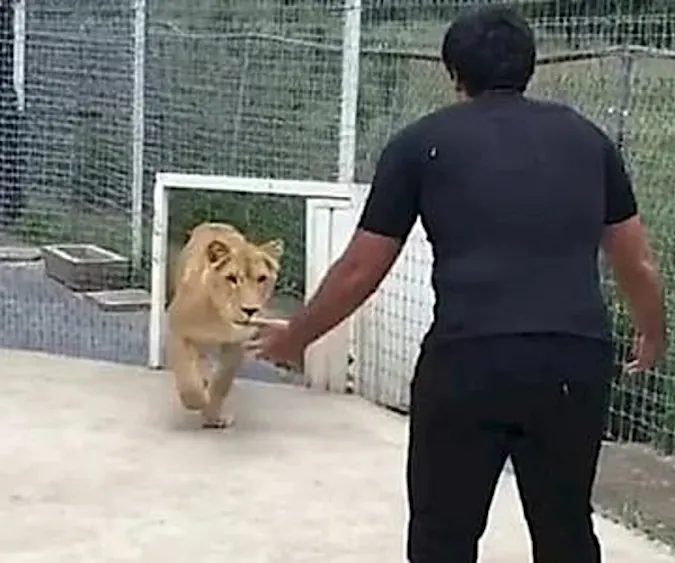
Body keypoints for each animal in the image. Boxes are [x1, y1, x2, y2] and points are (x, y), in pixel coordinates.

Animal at [169, 223, 286, 430]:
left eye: (262, 278)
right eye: (232, 278)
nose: (250, 310)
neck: (220, 316)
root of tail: (214, 223)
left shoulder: (237, 343)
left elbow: (222, 382)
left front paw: (213, 416)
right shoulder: (177, 328)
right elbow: (188, 380)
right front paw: (199, 400)